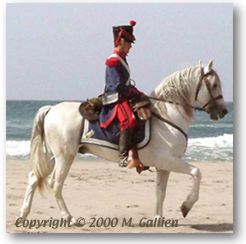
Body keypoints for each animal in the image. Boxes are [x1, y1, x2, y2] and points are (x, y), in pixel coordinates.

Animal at [19, 60, 229, 223]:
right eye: (214, 85)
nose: (224, 111)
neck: (167, 116)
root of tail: (51, 109)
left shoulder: (164, 166)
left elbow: (160, 192)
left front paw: (158, 219)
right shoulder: (169, 161)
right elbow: (196, 172)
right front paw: (186, 206)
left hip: (51, 156)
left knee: (33, 177)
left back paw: (23, 215)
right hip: (64, 157)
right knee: (55, 184)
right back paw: (69, 217)